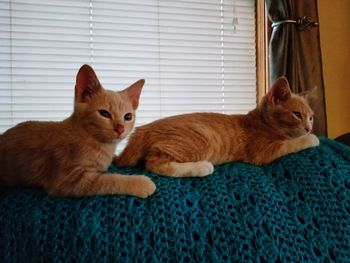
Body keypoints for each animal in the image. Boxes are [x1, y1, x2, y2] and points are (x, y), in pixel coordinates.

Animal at [0, 64, 156, 198]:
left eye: (128, 117)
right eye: (104, 113)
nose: (120, 128)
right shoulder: (66, 180)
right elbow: (108, 180)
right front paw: (140, 183)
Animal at [117, 77, 320, 178]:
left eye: (311, 117)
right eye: (297, 114)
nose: (309, 128)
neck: (262, 122)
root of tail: (142, 130)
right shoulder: (263, 151)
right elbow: (292, 143)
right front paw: (311, 138)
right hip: (199, 139)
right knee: (154, 162)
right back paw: (201, 167)